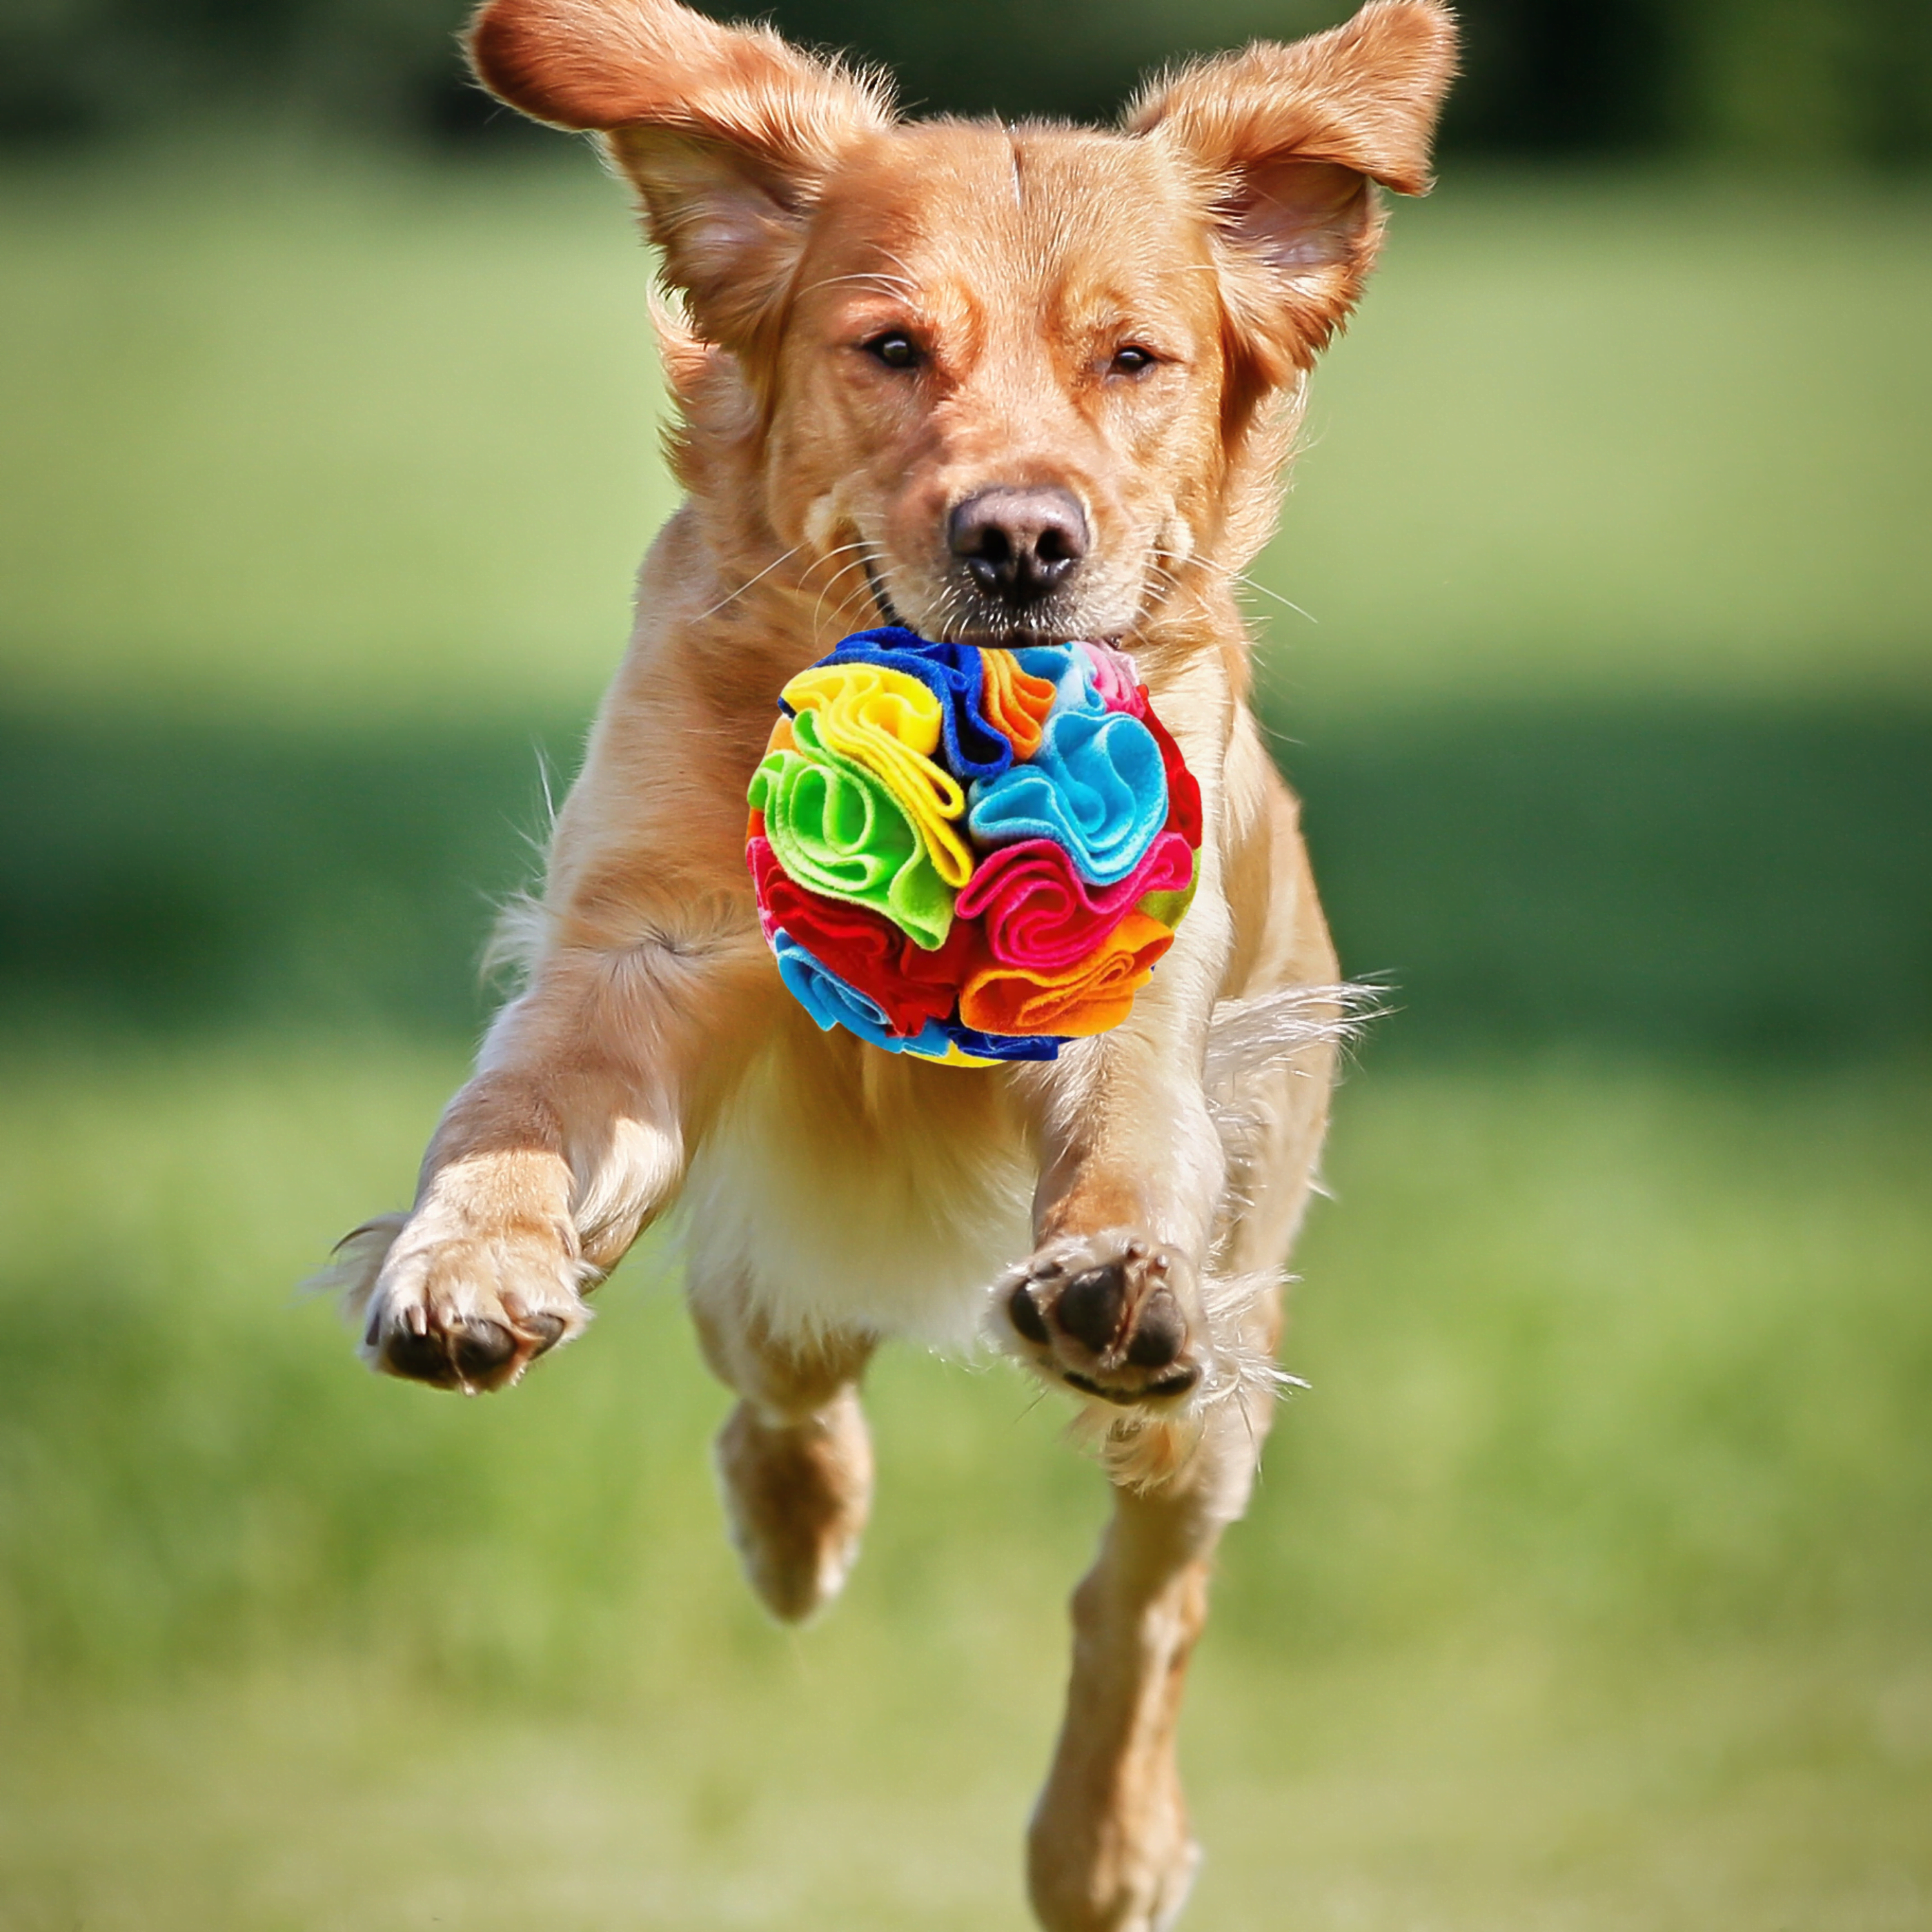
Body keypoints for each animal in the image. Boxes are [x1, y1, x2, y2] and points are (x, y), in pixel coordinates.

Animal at [332, 7, 1452, 1924]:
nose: (1021, 540)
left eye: (1132, 360)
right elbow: (513, 1122)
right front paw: (465, 1261)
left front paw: (1106, 1268)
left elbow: (1123, 1149)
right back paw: (794, 1529)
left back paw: (1102, 1841)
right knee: (780, 1373)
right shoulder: (633, 960)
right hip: (772, 1243)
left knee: (1143, 1590)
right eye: (891, 348)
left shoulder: (1136, 1015)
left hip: (1228, 1347)